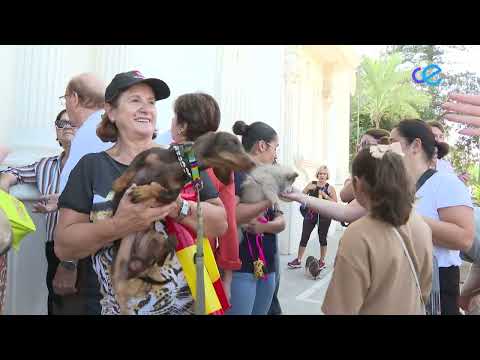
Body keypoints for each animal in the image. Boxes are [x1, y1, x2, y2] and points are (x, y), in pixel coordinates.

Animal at [110, 131, 256, 314]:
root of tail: (138, 263)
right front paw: (118, 184)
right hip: (117, 272)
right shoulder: (146, 155)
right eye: (232, 143)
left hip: (158, 239)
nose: (254, 163)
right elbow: (131, 168)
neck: (181, 164)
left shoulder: (171, 195)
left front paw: (143, 191)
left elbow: (157, 189)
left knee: (162, 251)